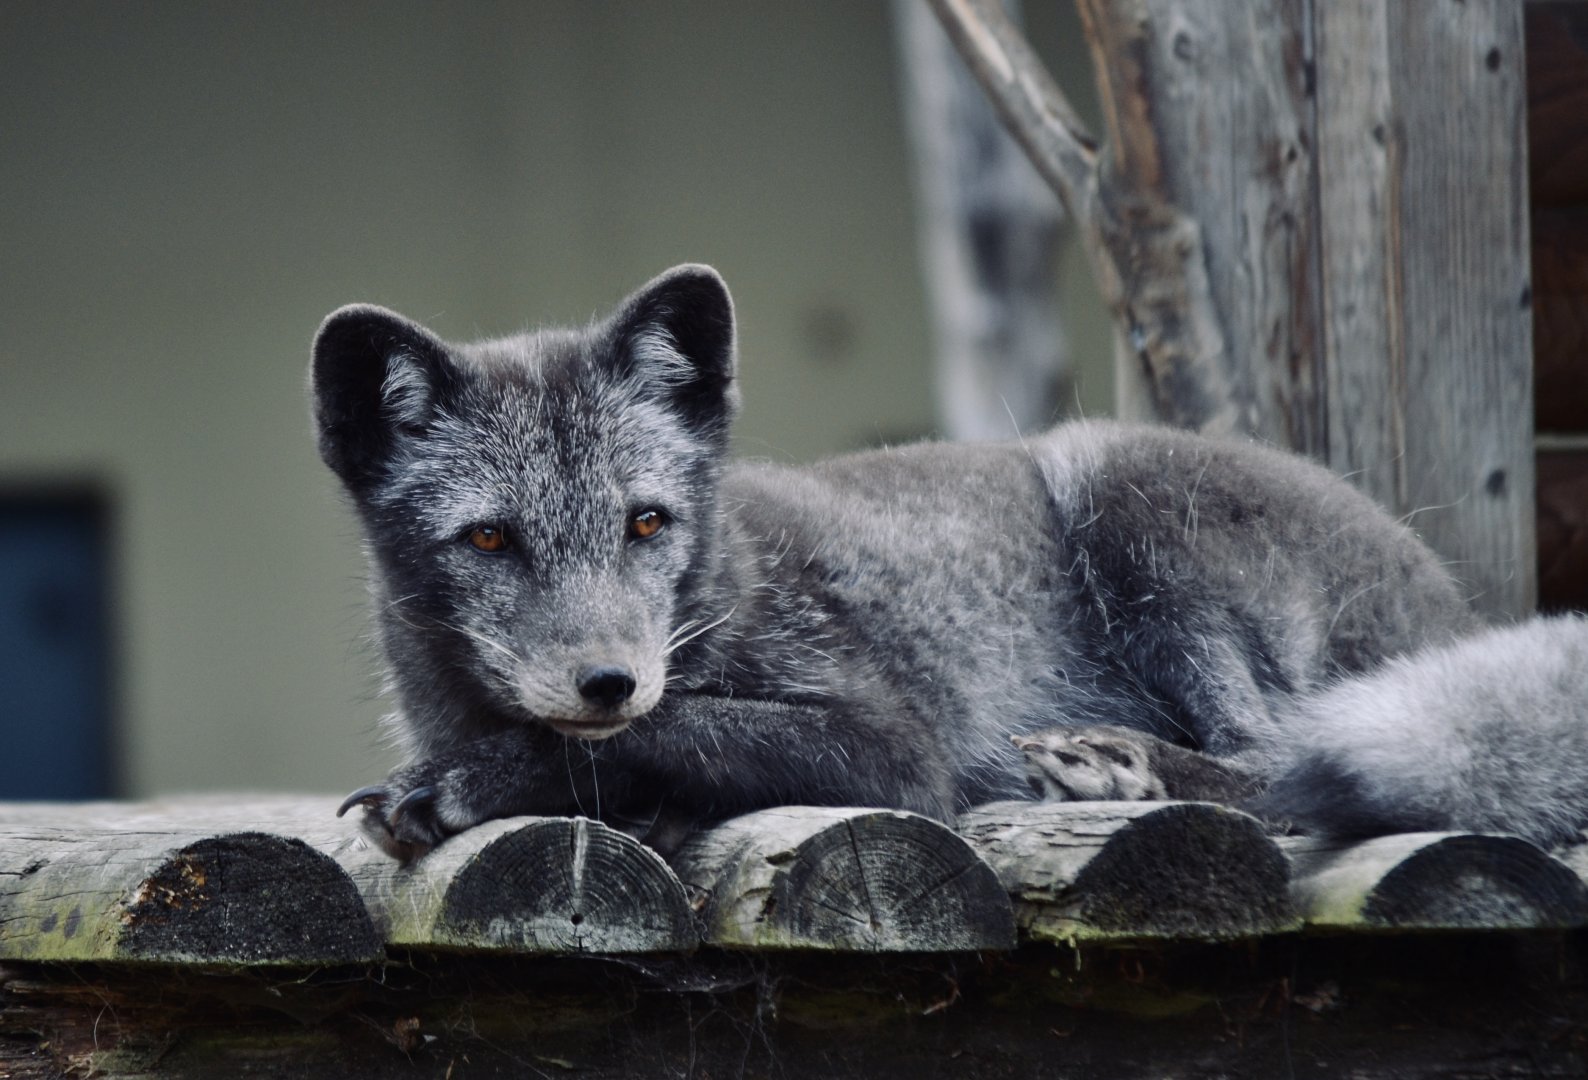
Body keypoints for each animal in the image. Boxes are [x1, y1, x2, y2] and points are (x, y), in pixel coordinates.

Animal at [313, 264, 1582, 861]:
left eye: (644, 524)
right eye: (490, 538)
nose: (607, 681)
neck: (721, 593)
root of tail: (1451, 600)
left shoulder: (893, 746)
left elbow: (677, 725)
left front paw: (482, 780)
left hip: (1116, 483)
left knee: (1283, 753)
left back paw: (1121, 768)